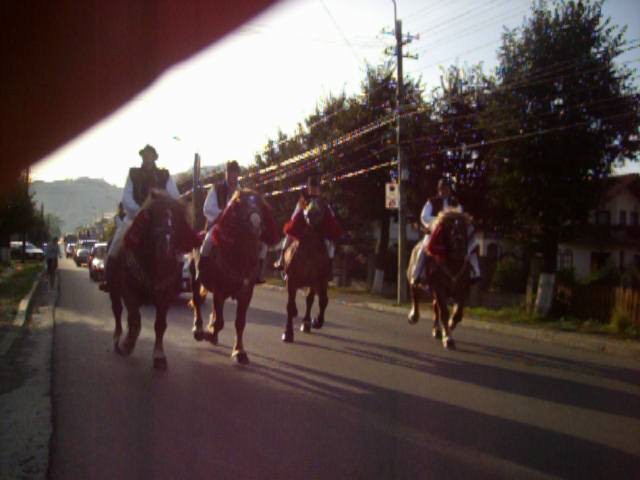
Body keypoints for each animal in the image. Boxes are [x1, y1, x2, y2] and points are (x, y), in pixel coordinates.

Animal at [109, 189, 200, 370]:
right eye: (154, 217)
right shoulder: (129, 292)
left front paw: (159, 355)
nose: (166, 249)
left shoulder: (166, 296)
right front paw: (127, 345)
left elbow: (160, 324)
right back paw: (117, 338)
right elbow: (135, 320)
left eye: (176, 221)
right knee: (117, 311)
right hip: (113, 291)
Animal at [190, 189, 280, 366]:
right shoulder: (219, 291)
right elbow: (220, 322)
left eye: (260, 204)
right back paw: (198, 329)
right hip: (196, 279)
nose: (256, 223)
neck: (238, 256)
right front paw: (208, 333)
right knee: (197, 301)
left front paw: (239, 351)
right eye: (240, 204)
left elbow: (239, 323)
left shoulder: (246, 294)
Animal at [282, 197, 340, 344]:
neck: (310, 250)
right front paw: (288, 333)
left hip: (313, 284)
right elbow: (290, 306)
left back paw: (306, 323)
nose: (311, 214)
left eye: (322, 205)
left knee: (310, 300)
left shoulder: (320, 280)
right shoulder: (292, 279)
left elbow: (323, 300)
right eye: (306, 204)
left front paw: (316, 321)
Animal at [408, 210, 472, 348]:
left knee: (435, 307)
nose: (459, 243)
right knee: (415, 295)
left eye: (463, 227)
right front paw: (448, 338)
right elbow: (444, 313)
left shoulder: (462, 290)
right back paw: (414, 317)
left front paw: (450, 325)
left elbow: (458, 314)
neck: (453, 263)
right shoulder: (439, 288)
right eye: (448, 228)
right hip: (415, 281)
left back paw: (436, 330)